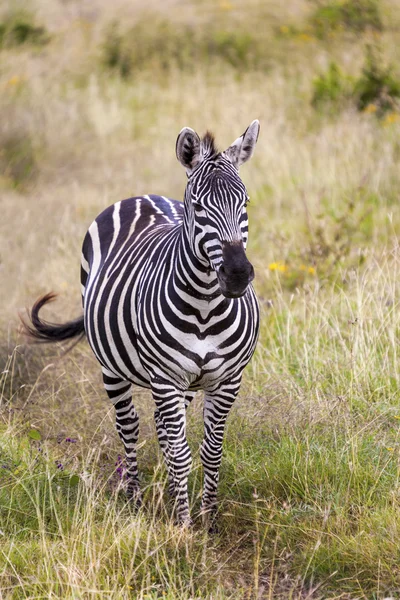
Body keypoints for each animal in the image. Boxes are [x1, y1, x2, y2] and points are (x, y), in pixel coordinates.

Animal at [24, 118, 262, 528]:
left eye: (244, 202)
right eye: (197, 206)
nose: (236, 275)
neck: (205, 307)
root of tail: (141, 197)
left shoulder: (227, 381)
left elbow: (210, 452)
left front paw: (209, 522)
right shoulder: (166, 378)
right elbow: (181, 454)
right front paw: (184, 527)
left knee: (162, 429)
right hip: (113, 368)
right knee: (130, 425)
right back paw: (134, 497)